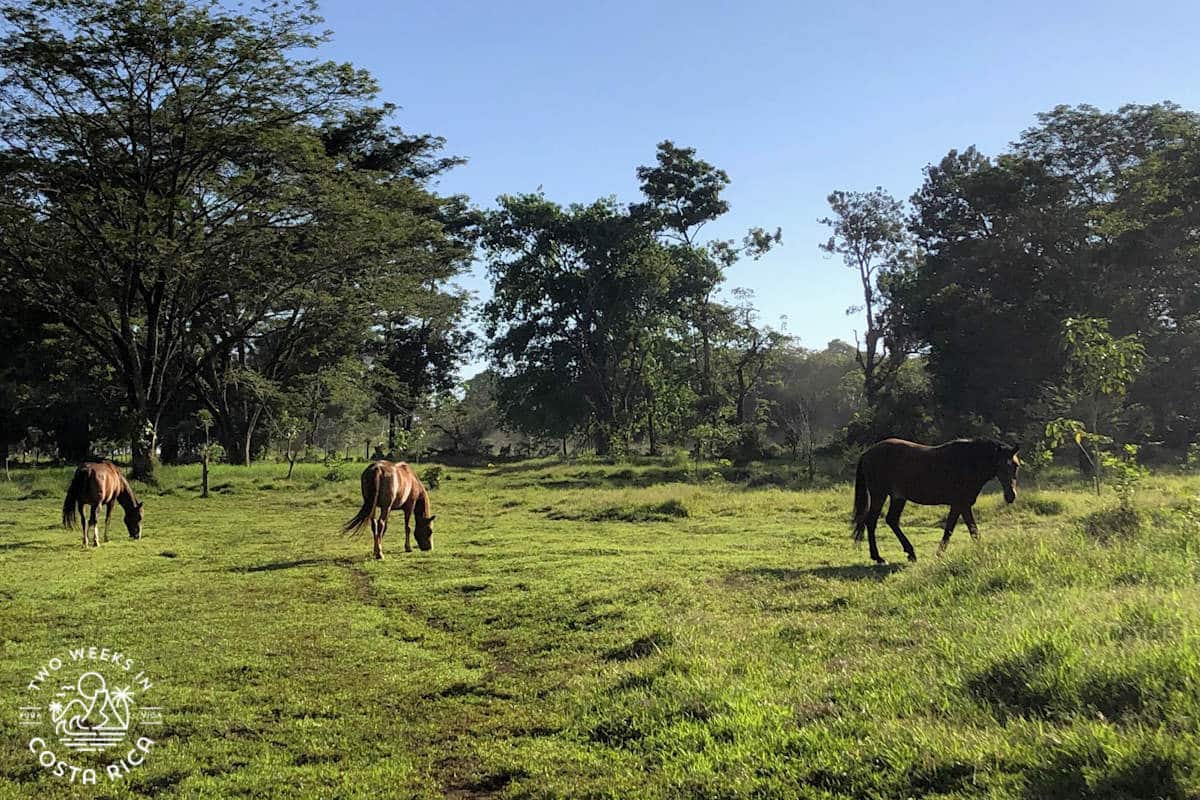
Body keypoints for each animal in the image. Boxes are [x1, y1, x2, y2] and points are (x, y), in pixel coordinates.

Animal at [851, 438, 1020, 564]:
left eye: (1016, 466)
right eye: (1000, 465)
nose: (1011, 496)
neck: (967, 462)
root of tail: (867, 453)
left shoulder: (961, 505)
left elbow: (962, 530)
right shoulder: (961, 504)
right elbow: (961, 530)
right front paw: (940, 554)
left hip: (898, 497)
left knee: (891, 520)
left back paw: (910, 553)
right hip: (879, 495)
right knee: (871, 521)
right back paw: (878, 557)